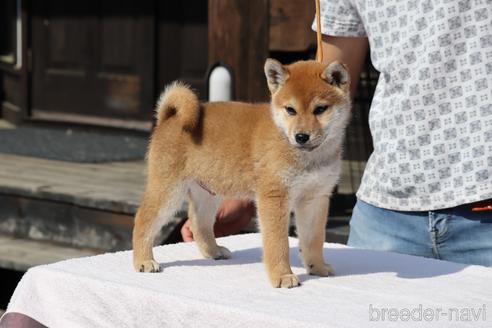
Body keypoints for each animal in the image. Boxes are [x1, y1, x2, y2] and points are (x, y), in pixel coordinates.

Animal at [133, 58, 352, 288]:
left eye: (320, 109)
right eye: (290, 110)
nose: (301, 136)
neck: (308, 157)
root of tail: (169, 118)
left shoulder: (315, 198)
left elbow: (314, 240)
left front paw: (317, 267)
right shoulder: (274, 196)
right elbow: (278, 243)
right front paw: (282, 275)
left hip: (208, 193)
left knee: (198, 222)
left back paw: (214, 251)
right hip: (169, 190)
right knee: (143, 219)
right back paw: (144, 260)